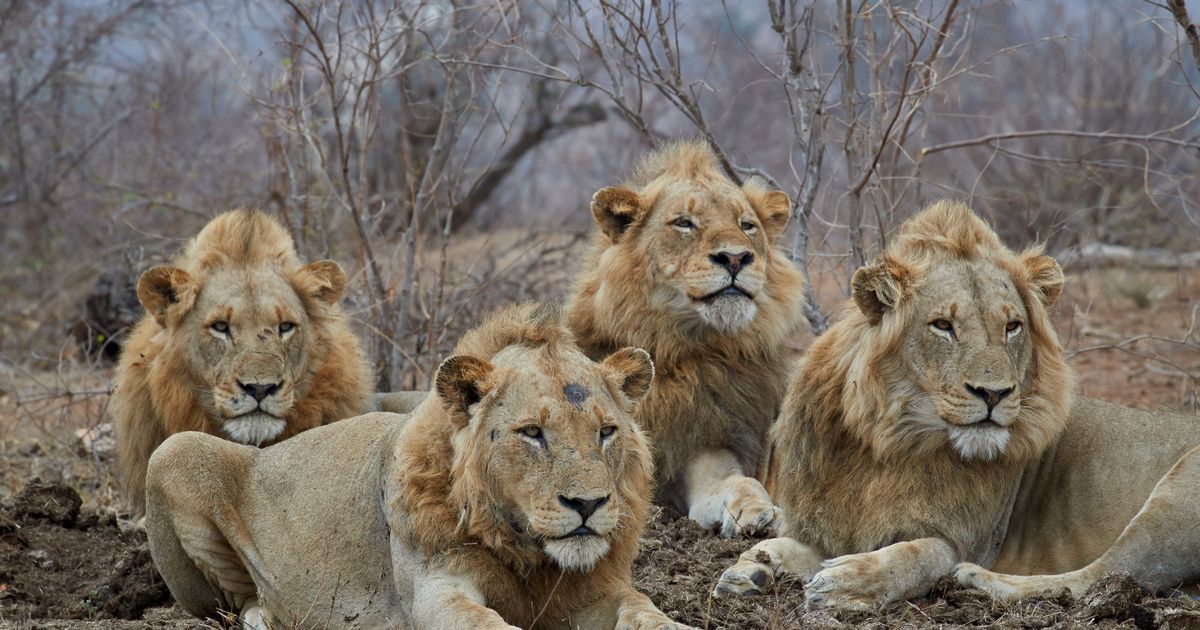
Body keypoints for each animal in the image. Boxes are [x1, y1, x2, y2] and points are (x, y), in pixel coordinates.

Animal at [143, 304, 691, 629]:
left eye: (606, 431)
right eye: (532, 432)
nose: (588, 504)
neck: (528, 552)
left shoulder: (594, 591)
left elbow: (645, 609)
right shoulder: (435, 588)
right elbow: (484, 623)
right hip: (173, 451)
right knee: (235, 603)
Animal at [564, 141, 806, 538]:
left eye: (747, 225)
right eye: (684, 223)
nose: (736, 258)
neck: (677, 350)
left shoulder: (706, 446)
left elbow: (738, 483)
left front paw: (760, 513)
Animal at [714, 200, 1200, 609]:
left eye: (1012, 326)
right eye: (943, 326)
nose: (994, 393)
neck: (891, 442)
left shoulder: (969, 538)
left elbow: (917, 554)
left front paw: (848, 581)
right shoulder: (834, 524)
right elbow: (781, 546)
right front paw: (752, 568)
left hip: (1175, 498)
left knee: (1104, 576)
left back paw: (977, 580)